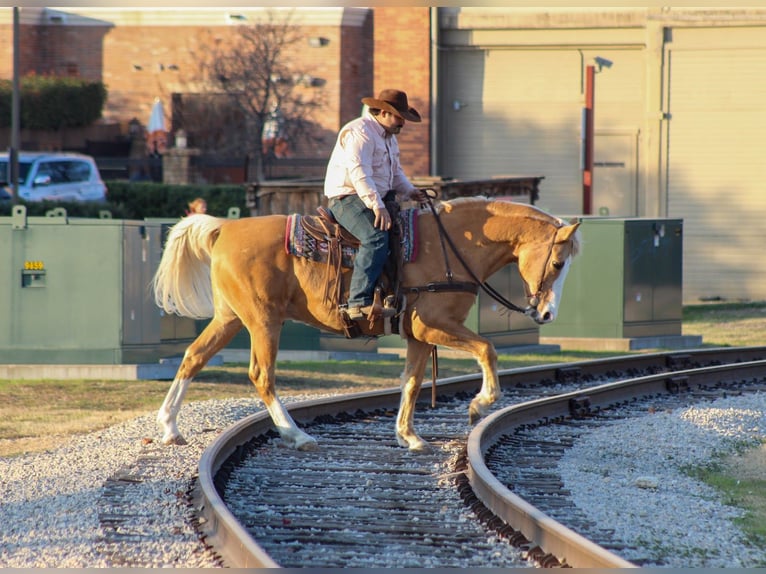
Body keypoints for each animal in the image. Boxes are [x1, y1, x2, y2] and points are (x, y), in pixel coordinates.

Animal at [152, 197, 581, 452]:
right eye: (558, 262)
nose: (546, 314)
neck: (453, 246)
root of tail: (225, 228)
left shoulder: (418, 336)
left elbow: (412, 381)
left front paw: (408, 435)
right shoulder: (433, 326)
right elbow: (487, 350)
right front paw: (481, 403)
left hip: (230, 318)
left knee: (193, 358)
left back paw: (170, 426)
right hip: (262, 321)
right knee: (262, 375)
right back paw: (297, 434)